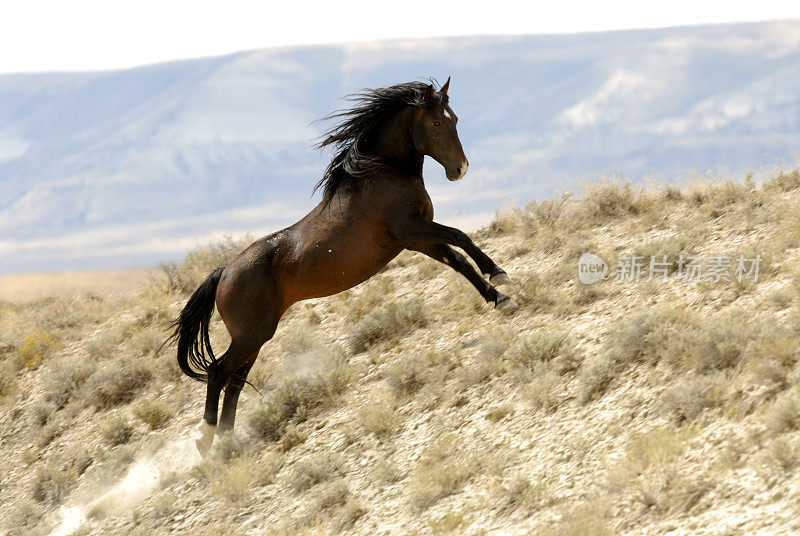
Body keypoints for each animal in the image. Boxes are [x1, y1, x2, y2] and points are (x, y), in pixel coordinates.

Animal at [170, 78, 520, 456]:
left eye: (455, 119)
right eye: (438, 122)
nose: (460, 169)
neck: (381, 174)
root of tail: (223, 273)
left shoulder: (417, 239)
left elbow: (458, 261)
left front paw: (499, 297)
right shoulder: (412, 229)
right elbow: (461, 237)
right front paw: (498, 273)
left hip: (254, 338)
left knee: (234, 382)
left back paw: (228, 443)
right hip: (252, 335)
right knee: (218, 374)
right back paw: (206, 439)